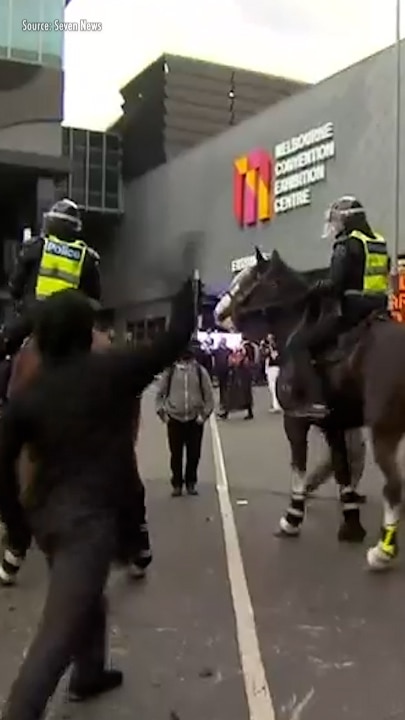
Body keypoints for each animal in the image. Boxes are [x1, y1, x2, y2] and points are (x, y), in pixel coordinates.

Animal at [216, 250, 404, 572]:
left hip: (384, 433)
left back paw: (383, 552)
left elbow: (298, 469)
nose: (218, 311)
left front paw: (292, 518)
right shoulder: (335, 425)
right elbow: (342, 471)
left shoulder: (295, 421)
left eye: (248, 279)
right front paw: (351, 524)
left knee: (393, 488)